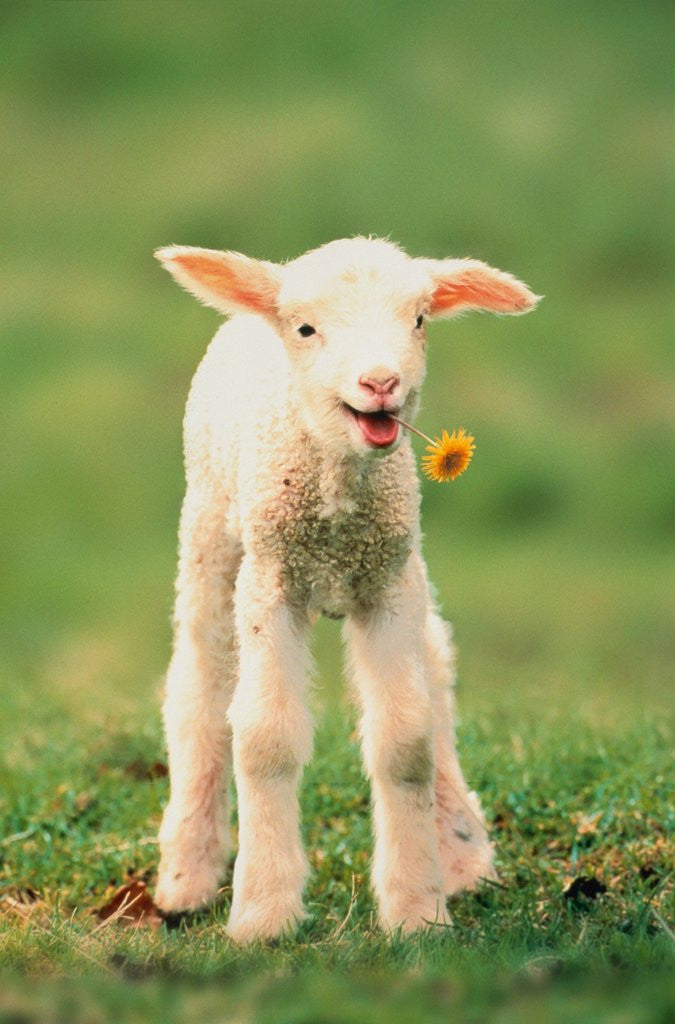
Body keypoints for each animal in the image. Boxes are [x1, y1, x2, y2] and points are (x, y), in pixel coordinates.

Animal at [153, 236, 539, 942]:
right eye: (306, 329)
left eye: (419, 319)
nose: (380, 384)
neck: (334, 503)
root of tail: (267, 279)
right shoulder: (271, 582)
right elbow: (266, 738)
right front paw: (264, 915)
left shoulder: (387, 583)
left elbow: (406, 739)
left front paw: (418, 910)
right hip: (212, 535)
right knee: (200, 681)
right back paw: (187, 876)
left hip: (410, 566)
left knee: (436, 670)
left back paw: (462, 850)